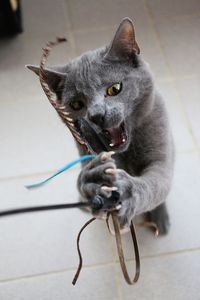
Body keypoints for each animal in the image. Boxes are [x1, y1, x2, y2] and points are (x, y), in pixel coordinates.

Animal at [27, 18, 174, 234]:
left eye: (114, 89)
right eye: (76, 104)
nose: (96, 115)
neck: (126, 152)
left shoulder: (160, 153)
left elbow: (157, 182)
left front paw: (129, 192)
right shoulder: (85, 149)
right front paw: (92, 180)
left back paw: (160, 220)